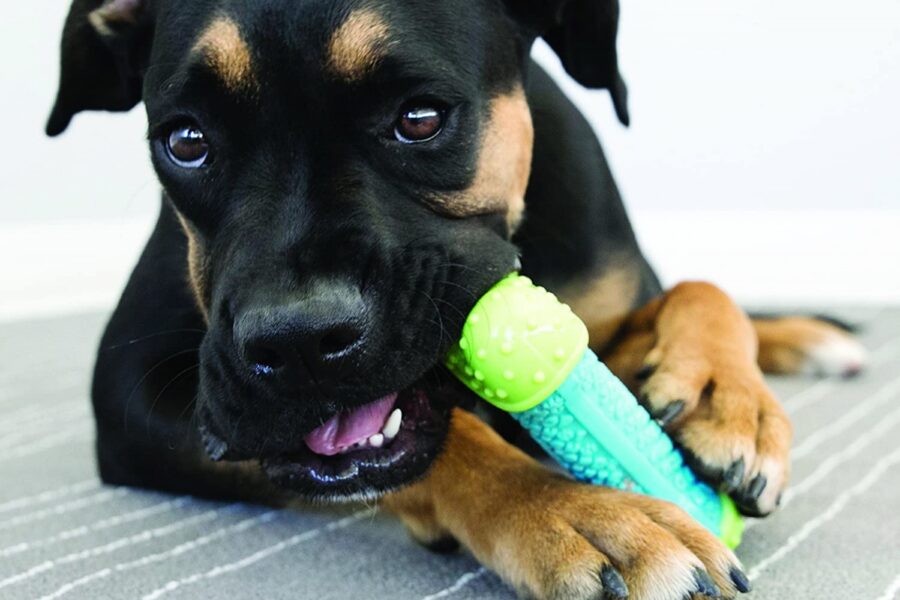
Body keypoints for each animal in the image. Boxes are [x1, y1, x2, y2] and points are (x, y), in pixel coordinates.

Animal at [47, 1, 864, 600]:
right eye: (185, 141)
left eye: (420, 117)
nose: (299, 341)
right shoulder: (130, 402)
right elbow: (453, 443)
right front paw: (582, 514)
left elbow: (703, 288)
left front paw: (726, 398)